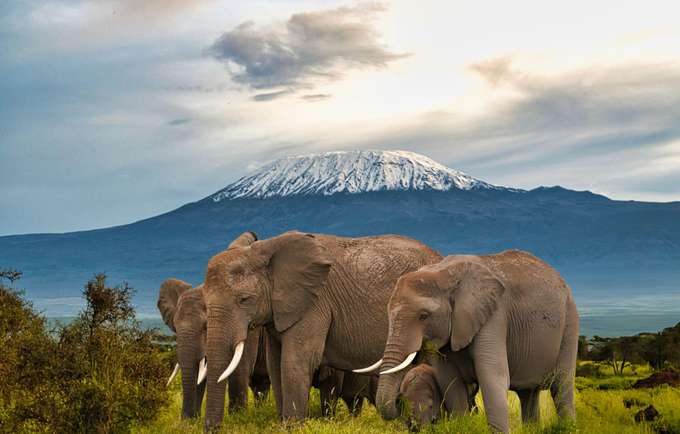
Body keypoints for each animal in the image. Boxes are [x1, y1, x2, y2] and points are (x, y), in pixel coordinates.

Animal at [157, 277, 270, 419]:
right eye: (175, 327)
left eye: (206, 326)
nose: (184, 418)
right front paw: (191, 421)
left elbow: (240, 368)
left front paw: (237, 419)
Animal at [201, 230, 441, 430]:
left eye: (244, 300)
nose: (213, 429)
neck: (267, 250)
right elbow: (275, 364)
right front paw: (284, 425)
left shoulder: (315, 304)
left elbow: (295, 362)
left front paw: (292, 428)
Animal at [364, 250, 579, 433]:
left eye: (423, 316)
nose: (398, 400)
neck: (444, 273)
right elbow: (450, 381)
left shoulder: (494, 316)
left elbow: (492, 377)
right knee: (528, 393)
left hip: (570, 321)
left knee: (561, 387)